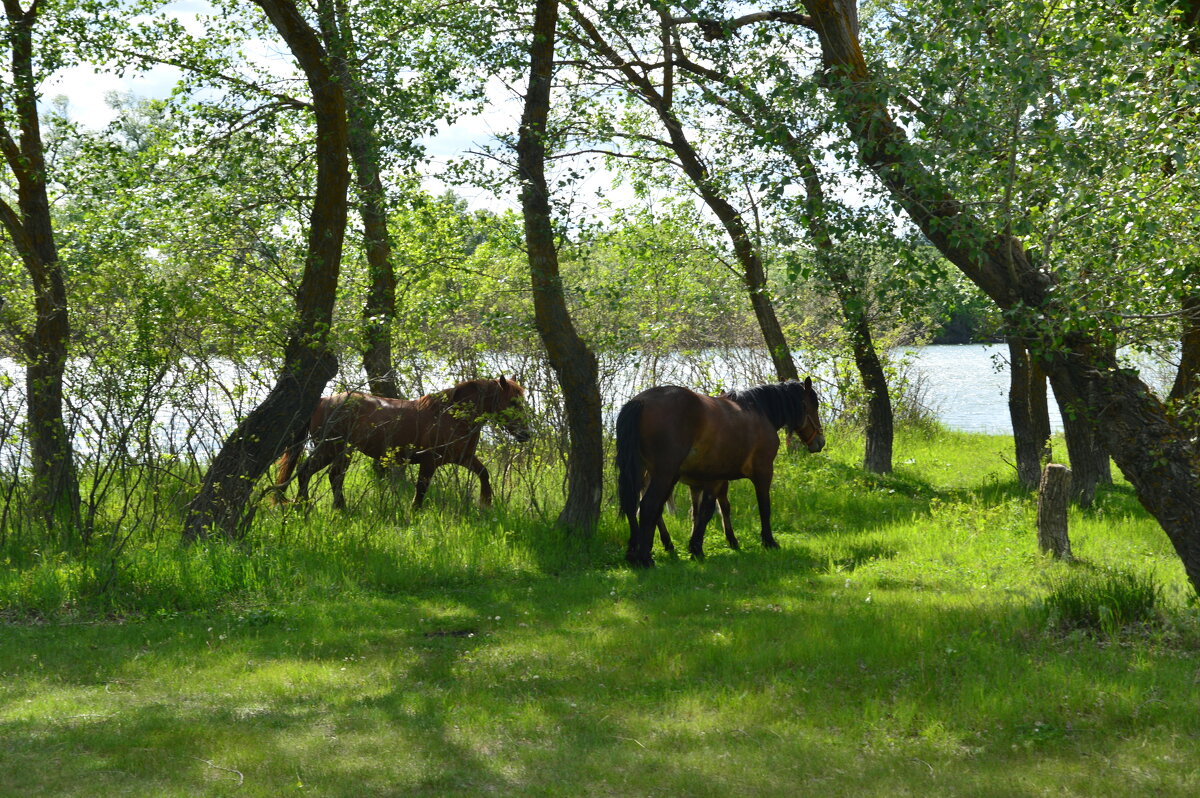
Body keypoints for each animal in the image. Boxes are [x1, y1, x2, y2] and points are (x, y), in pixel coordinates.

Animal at [278, 374, 532, 511]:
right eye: (512, 402)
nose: (525, 434)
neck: (451, 416)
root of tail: (323, 400)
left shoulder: (465, 457)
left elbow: (484, 474)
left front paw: (486, 504)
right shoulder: (429, 462)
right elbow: (421, 488)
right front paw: (414, 511)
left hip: (340, 451)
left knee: (332, 476)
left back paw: (335, 507)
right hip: (330, 448)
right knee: (307, 472)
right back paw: (304, 503)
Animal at [619, 379, 825, 566]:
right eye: (814, 405)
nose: (820, 442)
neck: (759, 412)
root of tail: (641, 401)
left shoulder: (715, 478)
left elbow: (707, 510)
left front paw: (699, 547)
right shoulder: (763, 471)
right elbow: (763, 507)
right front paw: (769, 541)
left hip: (645, 473)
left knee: (636, 506)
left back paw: (635, 552)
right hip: (664, 474)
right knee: (648, 506)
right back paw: (645, 557)